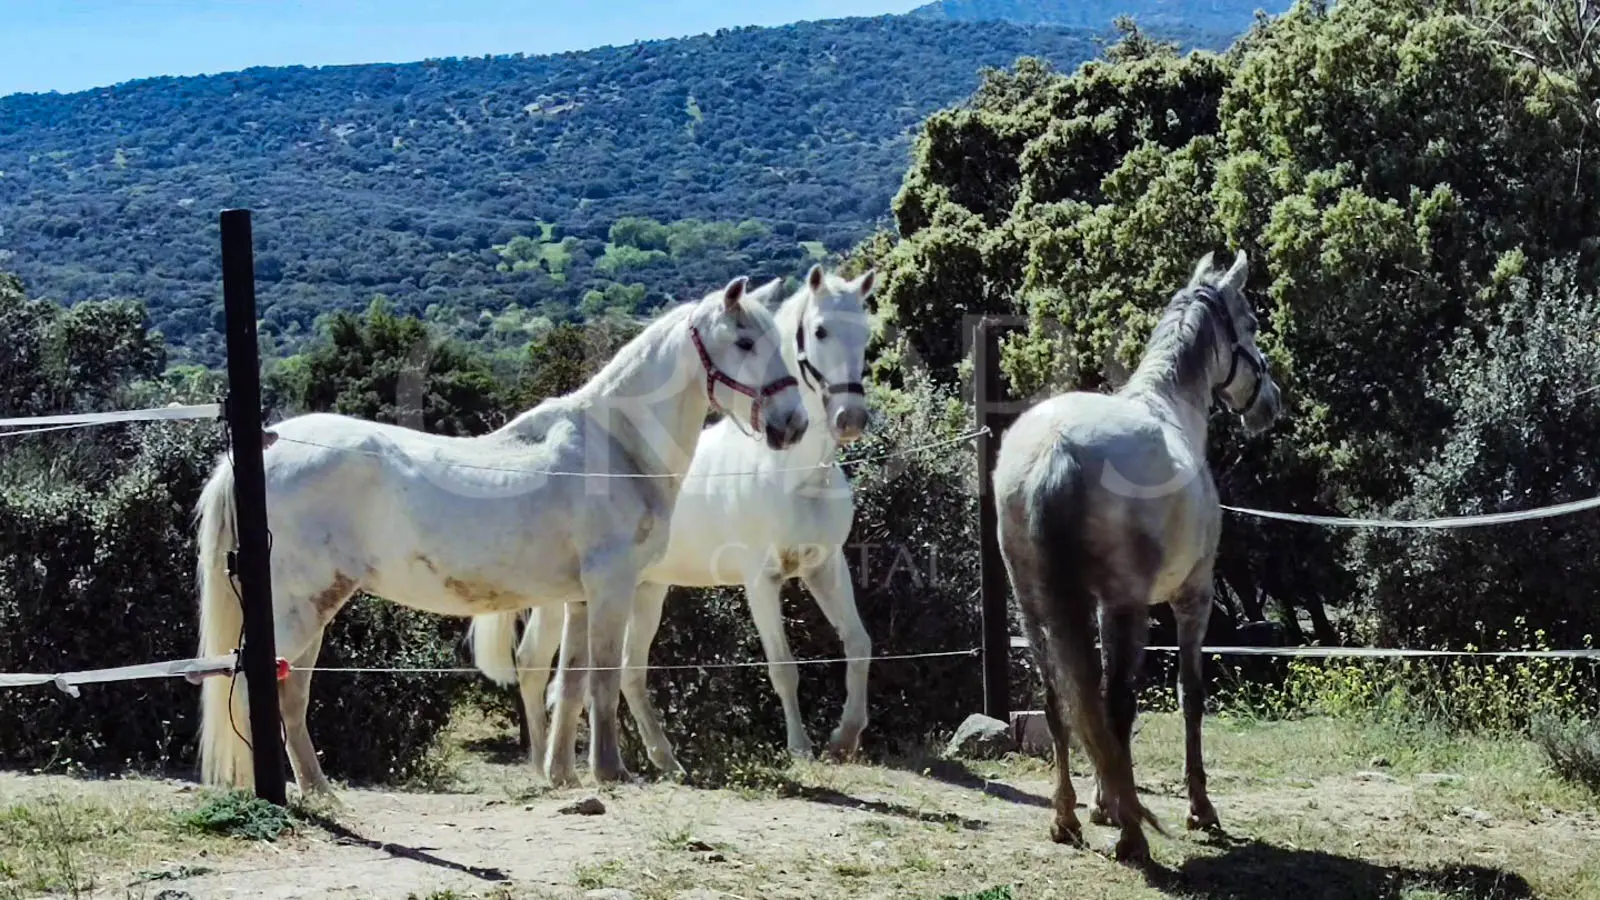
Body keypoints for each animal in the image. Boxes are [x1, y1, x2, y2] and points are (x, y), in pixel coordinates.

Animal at [193, 275, 806, 791]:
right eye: (744, 341)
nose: (792, 424)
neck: (616, 448)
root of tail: (261, 451)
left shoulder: (579, 599)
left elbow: (571, 685)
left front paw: (562, 774)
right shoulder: (612, 587)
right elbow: (604, 680)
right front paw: (610, 772)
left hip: (314, 610)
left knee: (289, 695)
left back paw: (321, 792)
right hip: (296, 608)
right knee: (254, 689)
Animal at [467, 261, 883, 778]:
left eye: (866, 332)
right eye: (820, 330)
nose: (850, 418)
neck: (795, 474)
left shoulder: (825, 566)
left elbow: (859, 644)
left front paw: (844, 739)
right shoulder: (761, 579)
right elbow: (783, 666)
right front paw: (801, 750)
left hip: (647, 590)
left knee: (628, 671)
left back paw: (664, 760)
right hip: (557, 599)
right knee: (532, 665)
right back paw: (545, 764)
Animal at [992, 246, 1280, 864]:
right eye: (1249, 323)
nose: (1270, 404)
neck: (1171, 408)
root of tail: (1054, 449)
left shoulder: (1098, 609)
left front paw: (1104, 803)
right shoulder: (1192, 598)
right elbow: (1188, 696)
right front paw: (1198, 809)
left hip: (1035, 607)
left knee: (1060, 700)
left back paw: (1067, 820)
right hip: (1132, 608)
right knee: (1115, 701)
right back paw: (1132, 837)